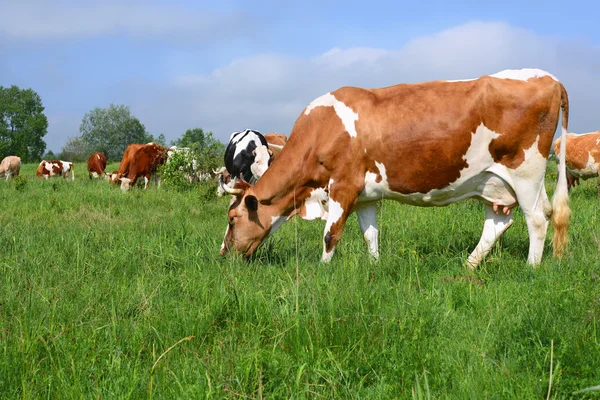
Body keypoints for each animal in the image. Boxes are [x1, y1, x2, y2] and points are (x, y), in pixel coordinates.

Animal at [220, 69, 572, 268]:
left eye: (232, 219)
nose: (224, 254)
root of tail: (549, 77)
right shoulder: (365, 196)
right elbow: (370, 235)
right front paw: (375, 268)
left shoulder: (343, 187)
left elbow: (330, 235)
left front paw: (321, 272)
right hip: (493, 182)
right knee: (499, 222)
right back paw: (468, 266)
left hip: (526, 171)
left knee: (537, 218)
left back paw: (531, 268)